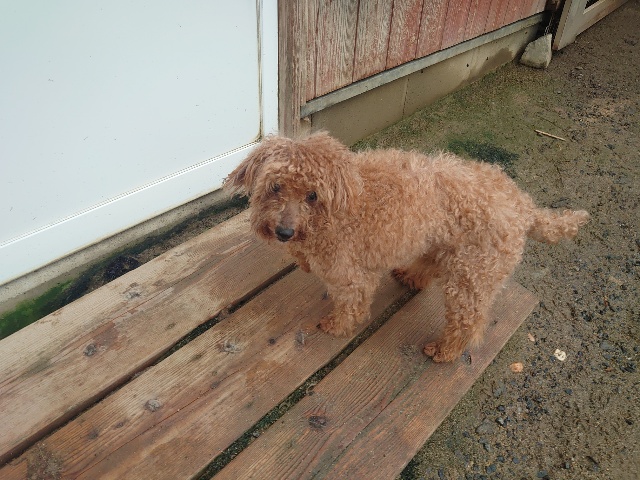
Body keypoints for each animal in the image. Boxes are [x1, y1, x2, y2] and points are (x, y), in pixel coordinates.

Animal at [224, 132, 589, 362]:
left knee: (469, 322)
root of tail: (525, 207)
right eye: (275, 186)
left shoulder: (351, 275)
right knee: (431, 265)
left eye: (312, 195)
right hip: (441, 244)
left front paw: (336, 326)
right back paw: (410, 277)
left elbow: (350, 306)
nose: (284, 232)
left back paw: (445, 351)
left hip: (472, 276)